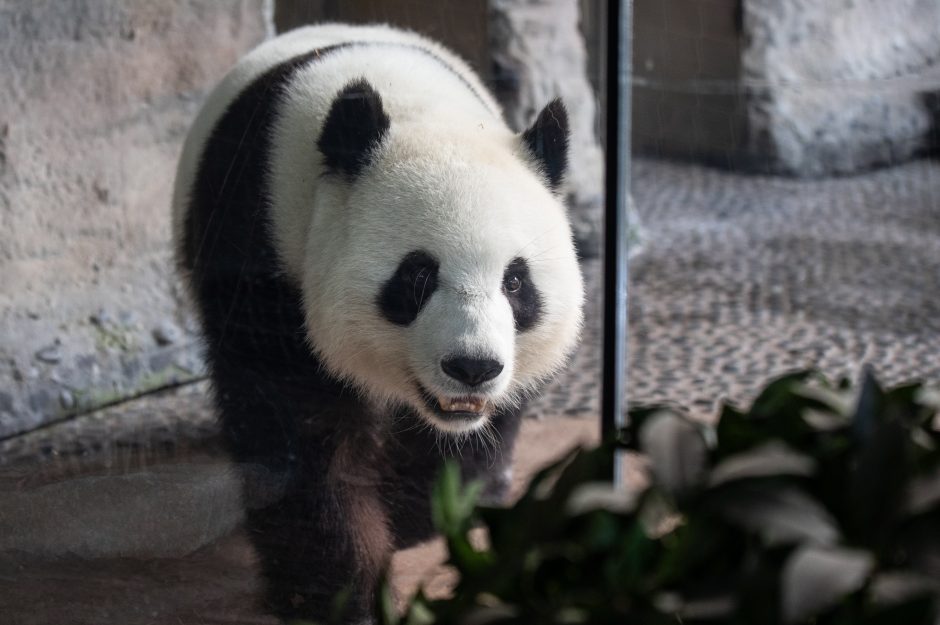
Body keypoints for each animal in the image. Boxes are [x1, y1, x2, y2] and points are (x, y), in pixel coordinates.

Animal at [169, 23, 580, 624]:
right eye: (417, 276)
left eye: (515, 282)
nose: (472, 368)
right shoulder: (262, 246)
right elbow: (301, 433)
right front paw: (337, 592)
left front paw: (418, 514)